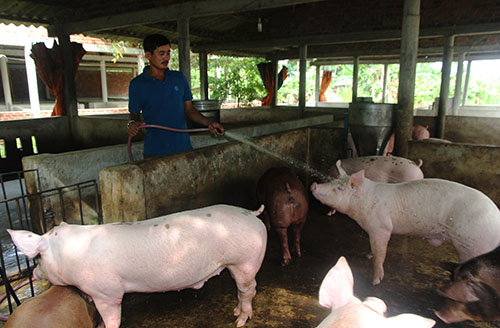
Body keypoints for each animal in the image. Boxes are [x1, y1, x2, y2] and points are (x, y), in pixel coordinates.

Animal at [5, 205, 268, 328]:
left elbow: (113, 318)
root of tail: (251, 214)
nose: (35, 272)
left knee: (249, 289)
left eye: (37, 257)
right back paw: (234, 312)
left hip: (245, 260)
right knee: (241, 290)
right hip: (235, 264)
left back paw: (240, 320)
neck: (73, 255)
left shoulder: (107, 292)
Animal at [308, 170, 500, 286]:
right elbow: (373, 249)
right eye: (333, 180)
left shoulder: (381, 227)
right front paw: (368, 255)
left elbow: (380, 252)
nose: (314, 184)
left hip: (474, 245)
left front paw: (375, 281)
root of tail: (496, 215)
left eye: (339, 188)